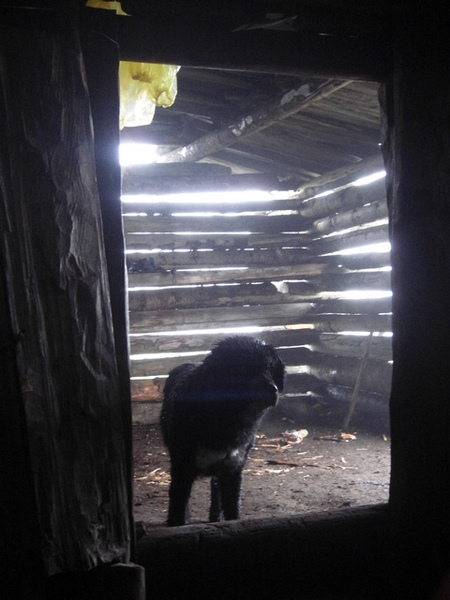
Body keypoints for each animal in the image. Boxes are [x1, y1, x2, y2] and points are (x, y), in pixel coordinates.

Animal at [160, 336, 284, 528]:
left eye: (270, 368)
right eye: (242, 369)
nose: (272, 389)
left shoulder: (233, 466)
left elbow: (232, 508)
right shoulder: (182, 467)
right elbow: (178, 506)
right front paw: (179, 522)